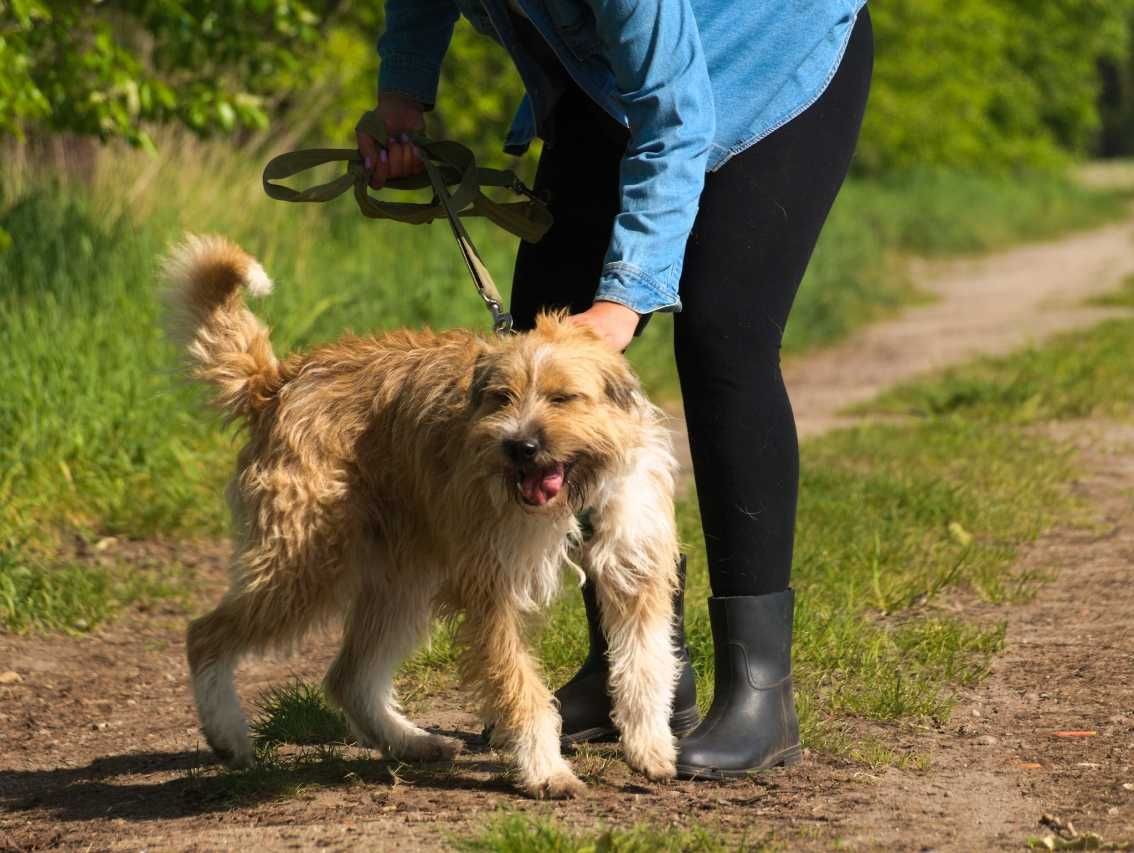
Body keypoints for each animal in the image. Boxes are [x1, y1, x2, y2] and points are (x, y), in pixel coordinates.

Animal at [165, 234, 680, 798]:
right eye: (502, 398)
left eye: (563, 397)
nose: (518, 446)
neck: (574, 493)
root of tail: (280, 381)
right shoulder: (492, 589)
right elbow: (520, 687)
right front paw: (545, 769)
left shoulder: (634, 570)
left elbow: (645, 665)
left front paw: (651, 747)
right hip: (304, 566)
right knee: (206, 635)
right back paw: (229, 736)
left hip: (401, 578)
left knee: (349, 676)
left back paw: (411, 742)